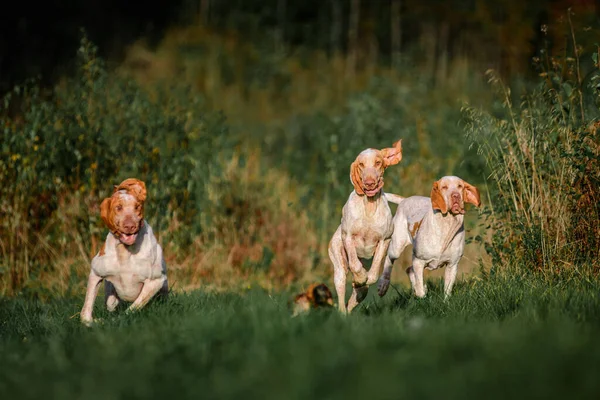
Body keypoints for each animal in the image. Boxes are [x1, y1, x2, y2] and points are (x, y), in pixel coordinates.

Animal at [79, 178, 169, 324]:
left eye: (137, 207)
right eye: (118, 207)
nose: (130, 226)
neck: (124, 251)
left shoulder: (156, 281)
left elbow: (132, 308)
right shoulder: (95, 274)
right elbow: (85, 312)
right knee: (110, 303)